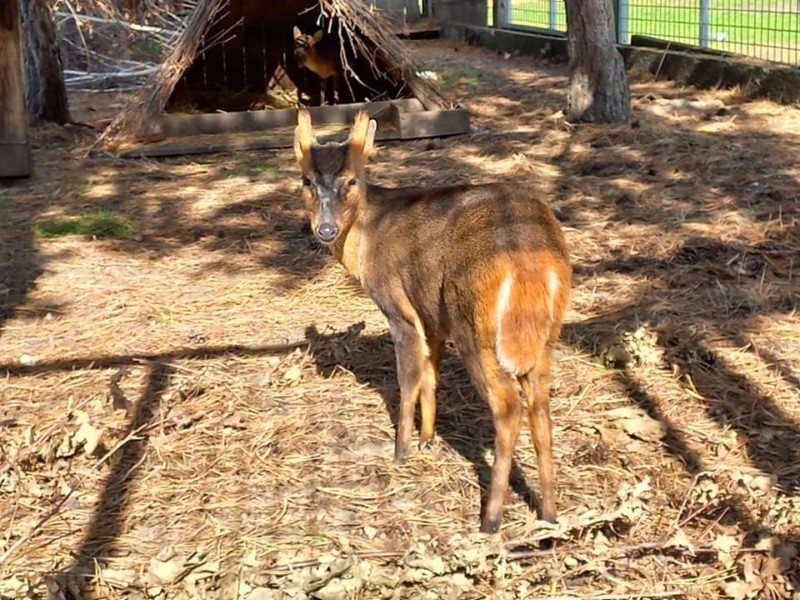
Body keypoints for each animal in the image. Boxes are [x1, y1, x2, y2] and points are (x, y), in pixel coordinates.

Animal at [296, 110, 576, 532]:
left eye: (351, 180)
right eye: (306, 180)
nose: (325, 229)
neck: (367, 237)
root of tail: (531, 259)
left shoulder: (400, 309)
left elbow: (408, 380)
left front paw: (402, 451)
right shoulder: (433, 317)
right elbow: (431, 375)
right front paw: (428, 438)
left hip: (474, 326)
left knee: (508, 407)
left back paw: (491, 518)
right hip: (544, 339)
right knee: (540, 408)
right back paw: (549, 513)